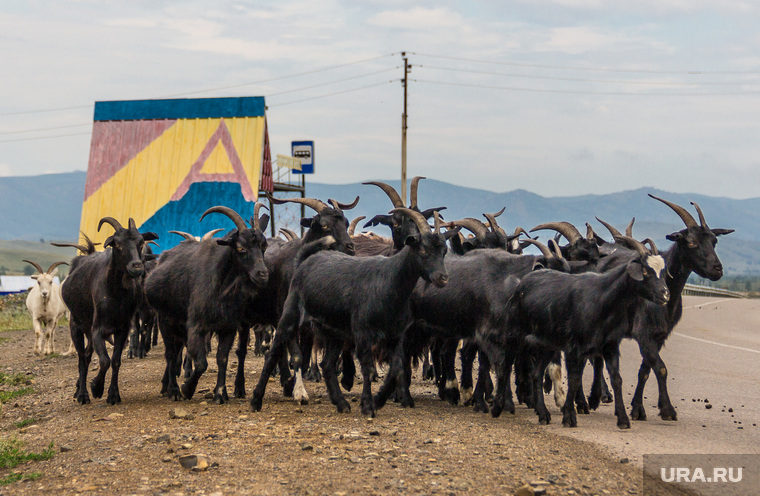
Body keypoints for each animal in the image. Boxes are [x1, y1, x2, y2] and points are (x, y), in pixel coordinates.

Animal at [60, 217, 159, 404]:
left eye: (141, 242)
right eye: (117, 244)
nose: (137, 267)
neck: (115, 294)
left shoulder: (122, 329)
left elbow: (115, 361)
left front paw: (113, 394)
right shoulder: (98, 330)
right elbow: (104, 360)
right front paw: (96, 387)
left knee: (87, 354)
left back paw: (79, 388)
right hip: (76, 325)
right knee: (82, 358)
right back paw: (82, 394)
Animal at [146, 204, 270, 404]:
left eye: (264, 246)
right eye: (241, 248)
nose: (262, 274)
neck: (221, 288)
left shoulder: (228, 328)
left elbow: (222, 359)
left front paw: (220, 394)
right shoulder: (197, 326)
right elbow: (201, 363)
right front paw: (187, 389)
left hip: (180, 326)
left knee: (176, 351)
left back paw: (167, 385)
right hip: (165, 320)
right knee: (171, 354)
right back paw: (173, 390)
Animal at [252, 207, 454, 416]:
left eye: (444, 251)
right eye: (423, 250)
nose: (442, 278)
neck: (389, 280)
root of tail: (303, 261)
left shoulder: (395, 335)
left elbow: (397, 367)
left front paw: (381, 399)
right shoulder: (362, 332)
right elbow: (367, 368)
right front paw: (367, 405)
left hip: (332, 331)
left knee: (327, 364)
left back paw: (341, 403)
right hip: (290, 316)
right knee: (274, 351)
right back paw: (256, 400)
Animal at [504, 234, 672, 428]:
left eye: (663, 272)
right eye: (645, 272)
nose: (665, 295)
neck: (601, 298)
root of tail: (523, 282)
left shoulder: (610, 346)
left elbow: (617, 379)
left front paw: (623, 419)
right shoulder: (573, 346)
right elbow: (575, 379)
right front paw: (569, 416)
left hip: (548, 344)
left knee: (536, 373)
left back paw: (543, 414)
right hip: (516, 334)